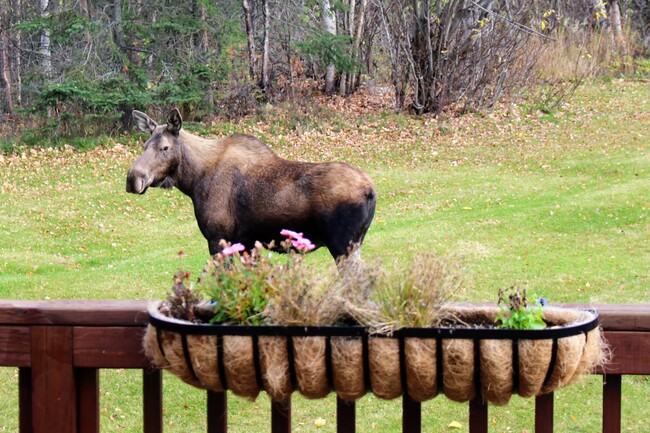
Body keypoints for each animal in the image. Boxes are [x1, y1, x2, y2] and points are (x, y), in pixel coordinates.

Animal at [125, 108, 374, 260]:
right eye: (145, 145)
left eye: (165, 147)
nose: (133, 178)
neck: (193, 181)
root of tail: (371, 191)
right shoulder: (248, 244)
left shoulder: (218, 239)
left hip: (343, 246)